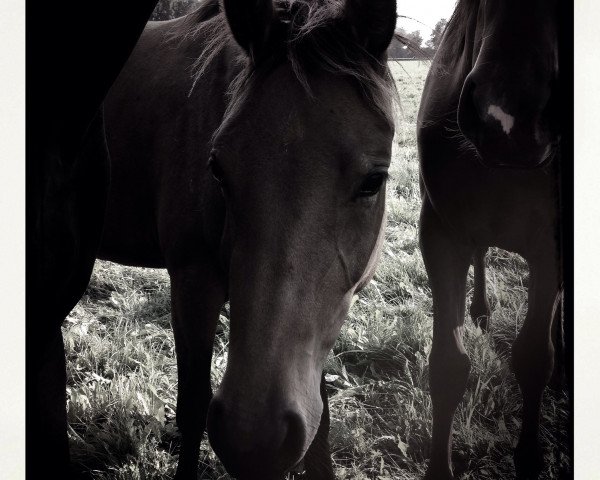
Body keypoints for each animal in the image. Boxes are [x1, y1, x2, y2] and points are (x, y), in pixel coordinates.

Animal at [97, 1, 398, 478]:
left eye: (374, 181)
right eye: (218, 170)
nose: (255, 438)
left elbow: (321, 423)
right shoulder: (192, 285)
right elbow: (192, 406)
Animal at [418, 0, 564, 480]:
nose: (506, 117)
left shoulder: (552, 249)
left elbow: (534, 359)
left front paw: (529, 458)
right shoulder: (441, 235)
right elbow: (448, 365)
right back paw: (481, 309)